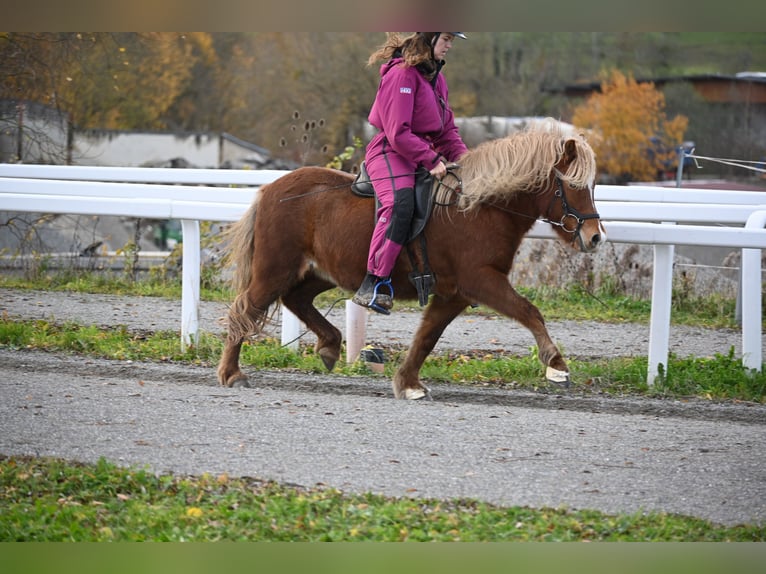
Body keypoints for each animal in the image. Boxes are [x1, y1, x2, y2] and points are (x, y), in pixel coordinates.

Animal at [216, 121, 608, 400]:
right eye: (572, 186)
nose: (595, 237)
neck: (478, 208)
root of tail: (270, 189)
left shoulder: (454, 294)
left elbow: (427, 337)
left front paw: (407, 383)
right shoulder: (481, 280)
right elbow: (529, 311)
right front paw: (556, 365)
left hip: (319, 272)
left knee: (296, 299)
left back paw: (329, 345)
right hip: (275, 269)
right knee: (245, 309)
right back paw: (232, 373)